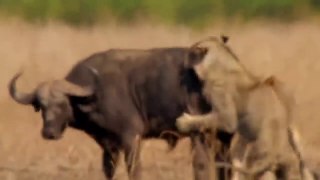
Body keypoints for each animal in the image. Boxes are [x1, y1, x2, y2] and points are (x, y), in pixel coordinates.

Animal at [8, 47, 220, 180]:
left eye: (62, 104)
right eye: (41, 106)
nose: (49, 133)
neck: (94, 96)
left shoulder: (131, 138)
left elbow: (134, 170)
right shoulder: (107, 144)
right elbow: (108, 170)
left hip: (199, 134)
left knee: (201, 164)